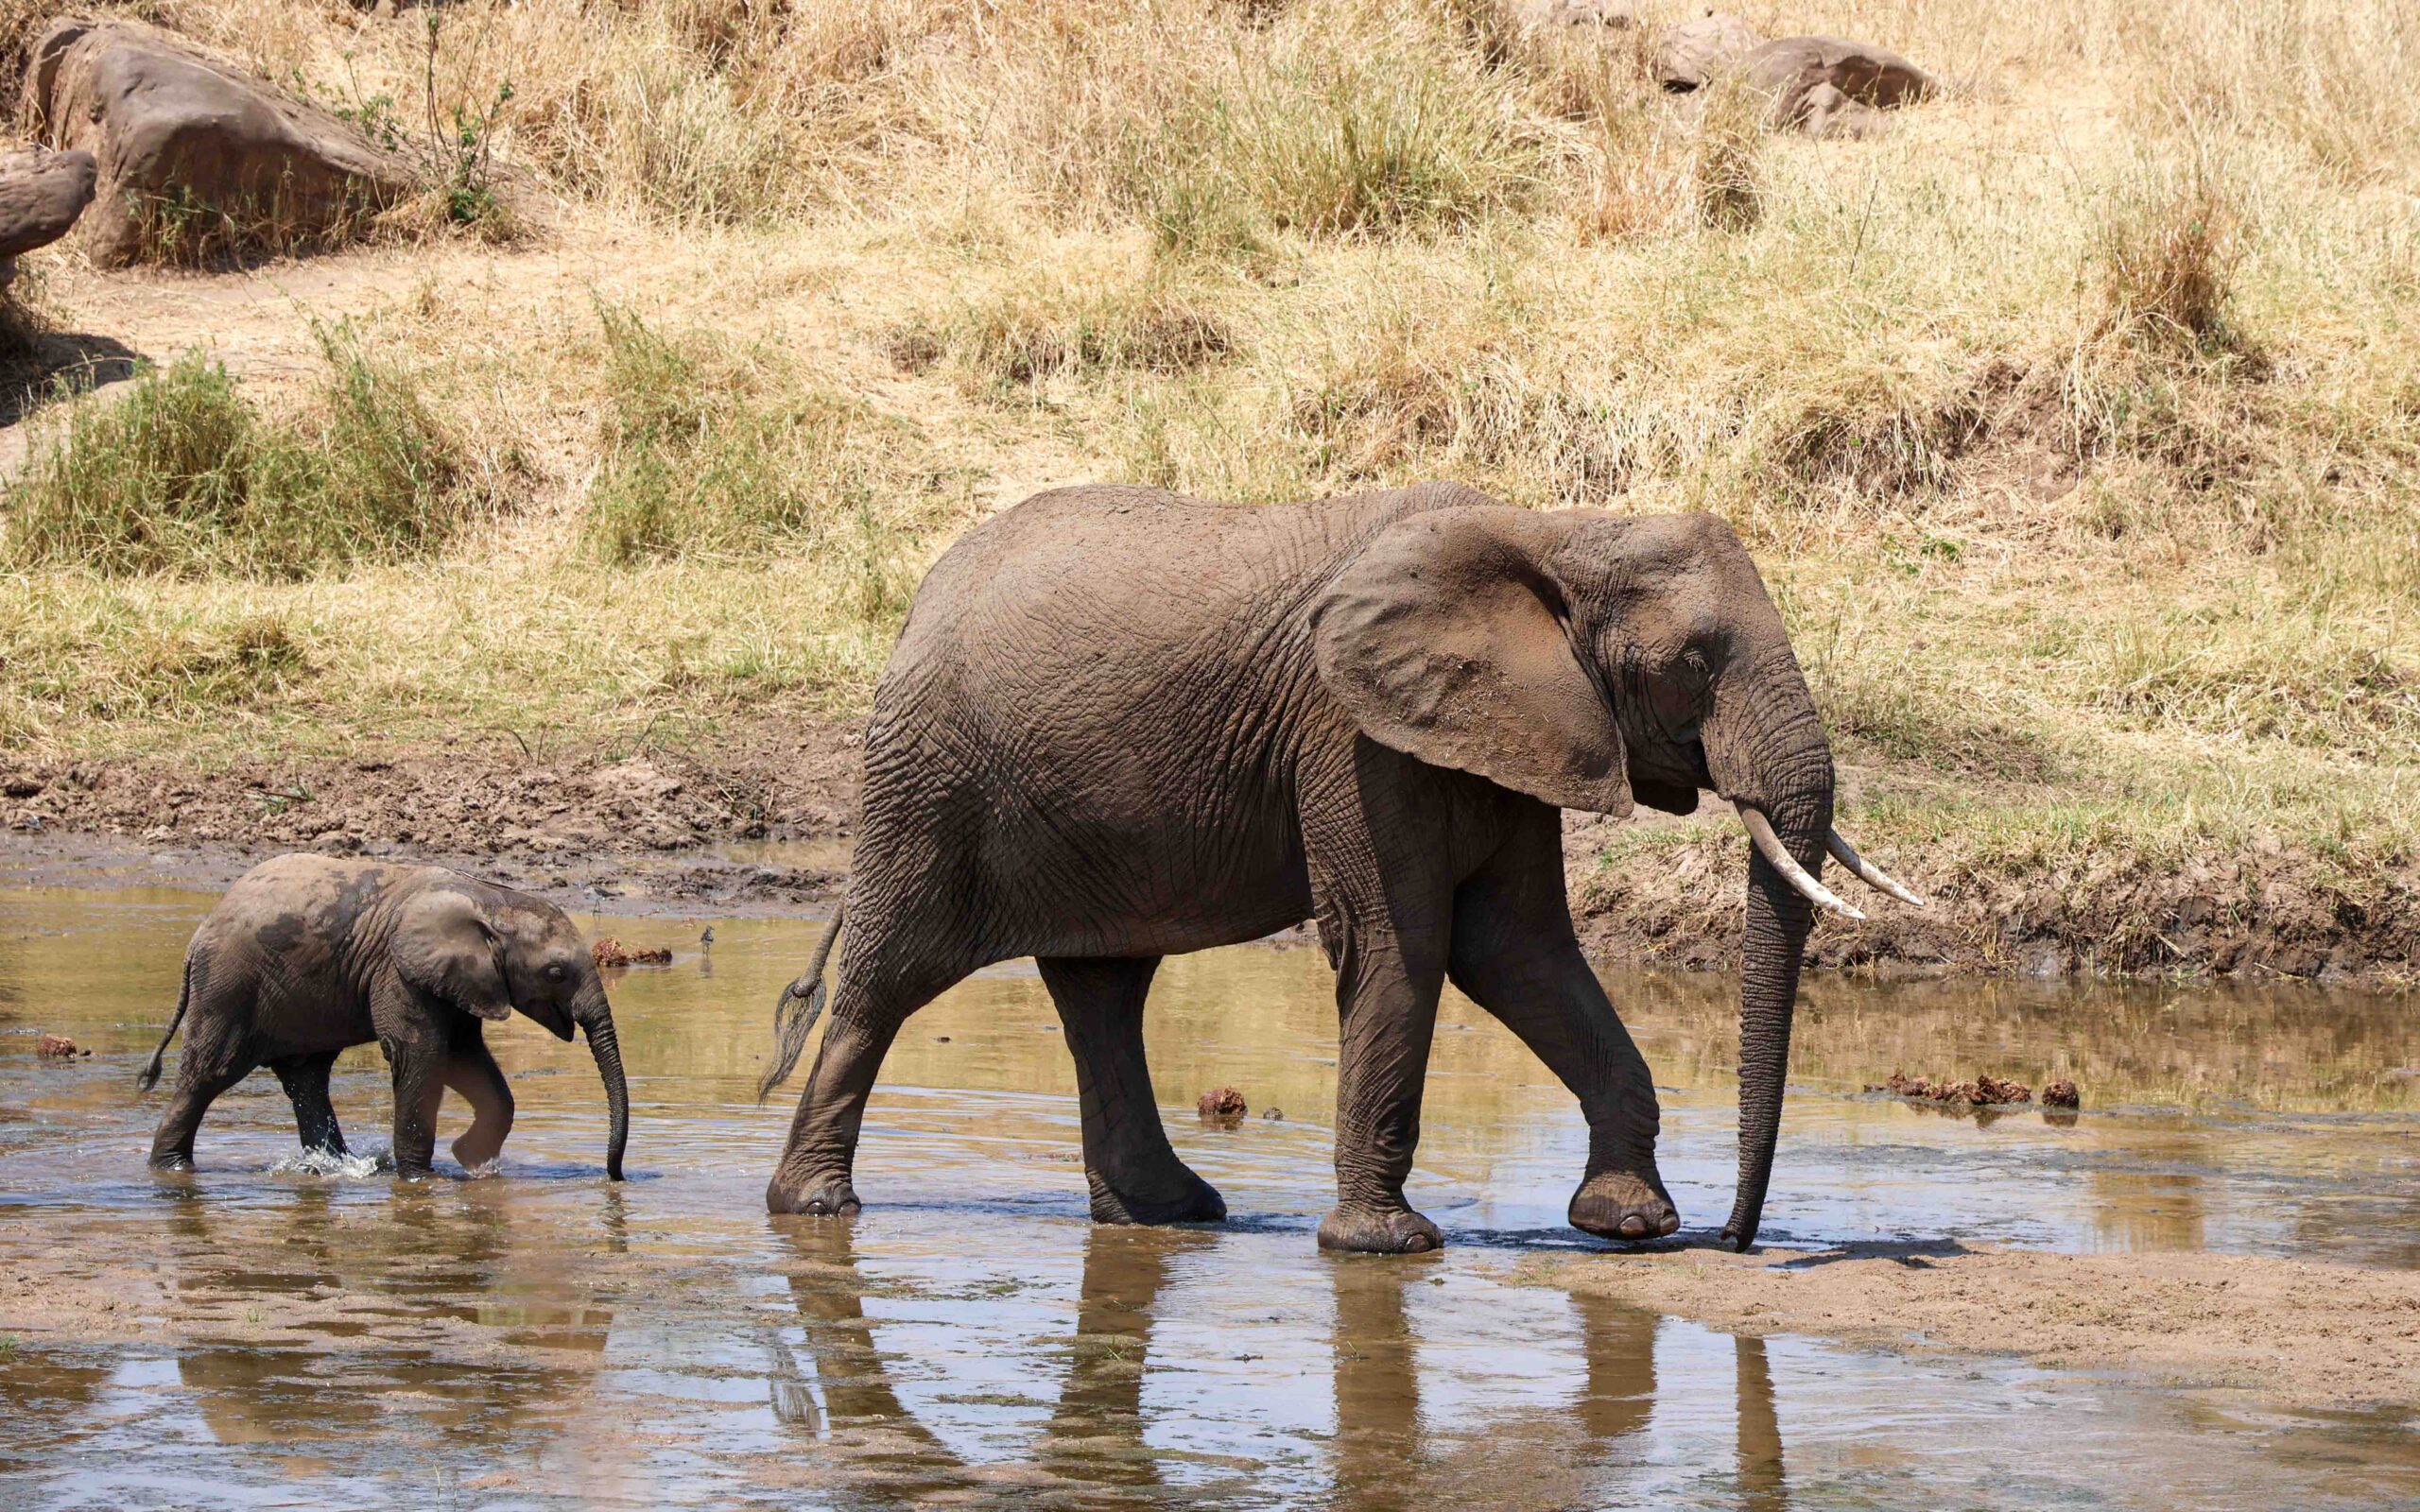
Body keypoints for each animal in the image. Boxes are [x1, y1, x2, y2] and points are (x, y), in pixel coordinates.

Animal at [138, 854, 628, 1180]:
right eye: (555, 973)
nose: (615, 1177)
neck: (491, 899)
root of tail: (198, 935)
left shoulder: (457, 980)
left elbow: (464, 1058)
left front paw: (467, 1159)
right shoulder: (399, 970)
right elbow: (420, 1054)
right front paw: (418, 1179)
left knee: (307, 1080)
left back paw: (332, 1166)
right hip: (228, 986)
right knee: (210, 1074)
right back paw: (172, 1170)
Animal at [759, 482, 1919, 1251]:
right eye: (1692, 662)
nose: (1735, 1239)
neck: (1555, 529)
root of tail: (922, 595)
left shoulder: (1506, 729)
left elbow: (1520, 953)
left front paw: (1627, 1224)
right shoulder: (1351, 734)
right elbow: (1406, 945)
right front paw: (1386, 1245)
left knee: (1103, 991)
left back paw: (1167, 1214)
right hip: (928, 781)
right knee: (888, 981)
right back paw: (813, 1210)